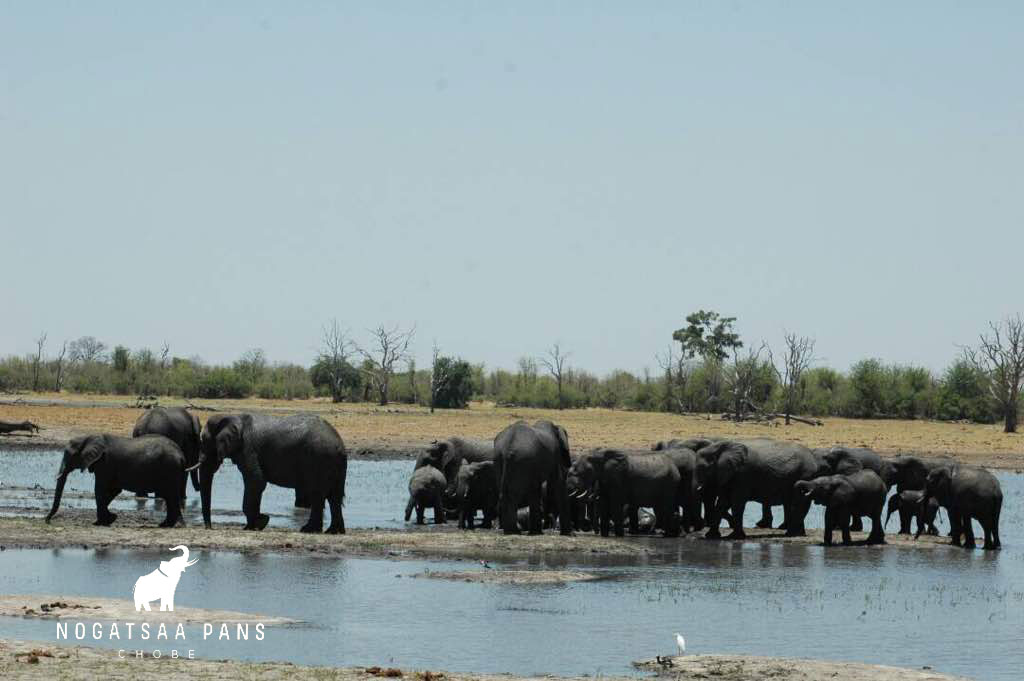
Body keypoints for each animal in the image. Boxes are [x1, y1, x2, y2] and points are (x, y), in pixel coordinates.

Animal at [45, 434, 193, 527]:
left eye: (68, 455)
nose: (47, 520)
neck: (88, 437)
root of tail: (181, 455)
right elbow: (113, 490)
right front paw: (111, 519)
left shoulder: (105, 464)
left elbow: (100, 489)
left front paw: (100, 522)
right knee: (170, 497)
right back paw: (167, 525)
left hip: (169, 469)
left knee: (170, 496)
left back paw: (169, 525)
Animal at [199, 413, 347, 533]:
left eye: (204, 441)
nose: (210, 528)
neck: (232, 417)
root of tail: (339, 445)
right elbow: (257, 483)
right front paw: (257, 523)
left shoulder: (248, 449)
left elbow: (256, 481)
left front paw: (257, 524)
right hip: (333, 464)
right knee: (334, 497)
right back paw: (333, 531)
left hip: (319, 459)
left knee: (318, 495)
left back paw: (308, 530)